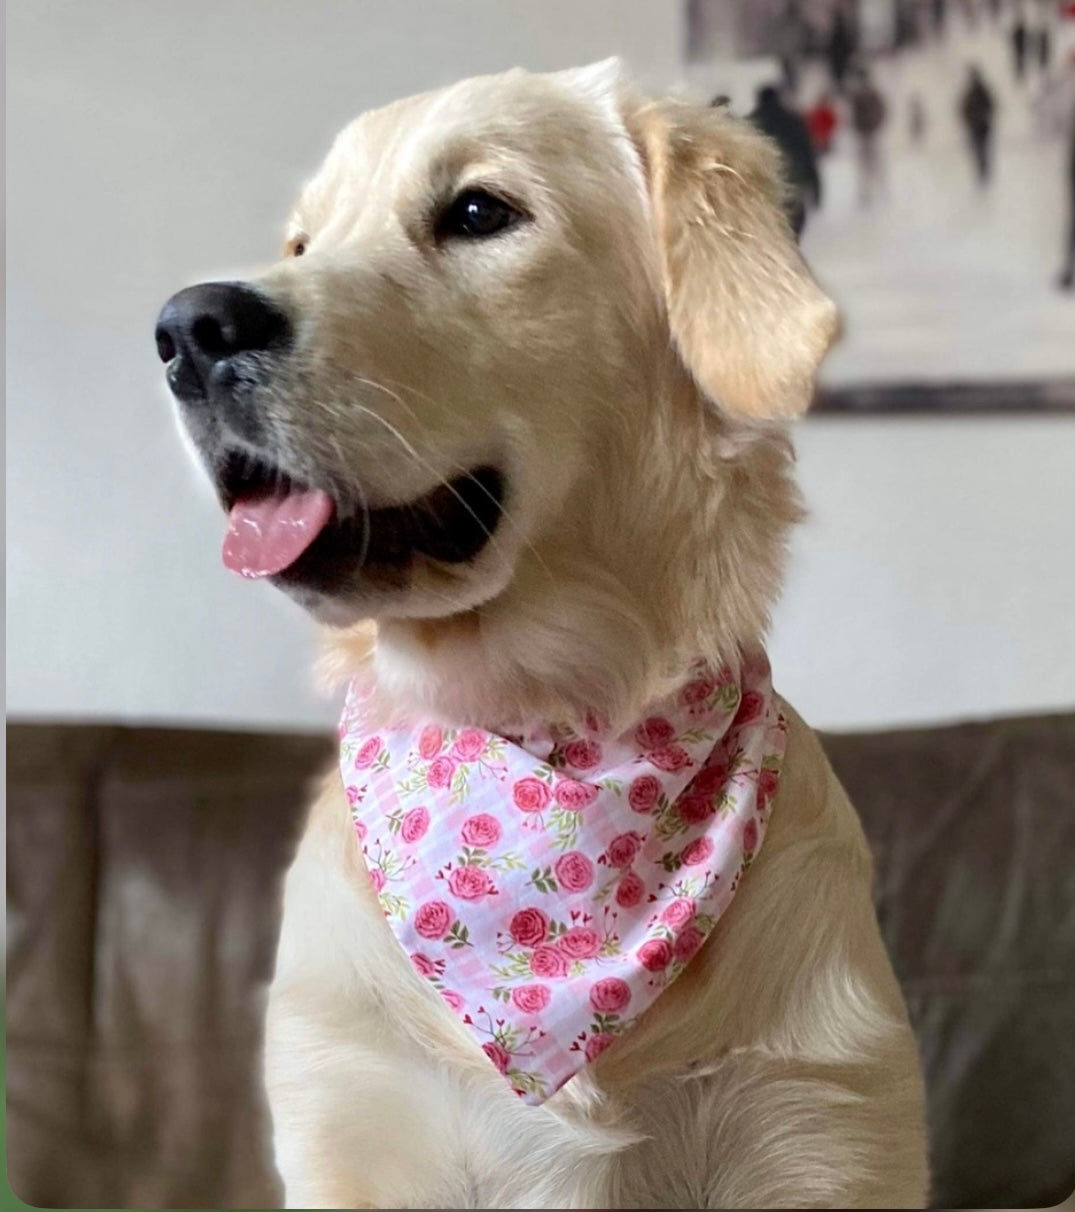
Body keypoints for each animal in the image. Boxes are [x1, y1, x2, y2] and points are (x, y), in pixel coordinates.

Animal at [155, 61, 930, 1207]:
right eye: (301, 244)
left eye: (480, 212)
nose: (187, 327)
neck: (553, 732)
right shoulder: (350, 1111)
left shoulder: (823, 1131)